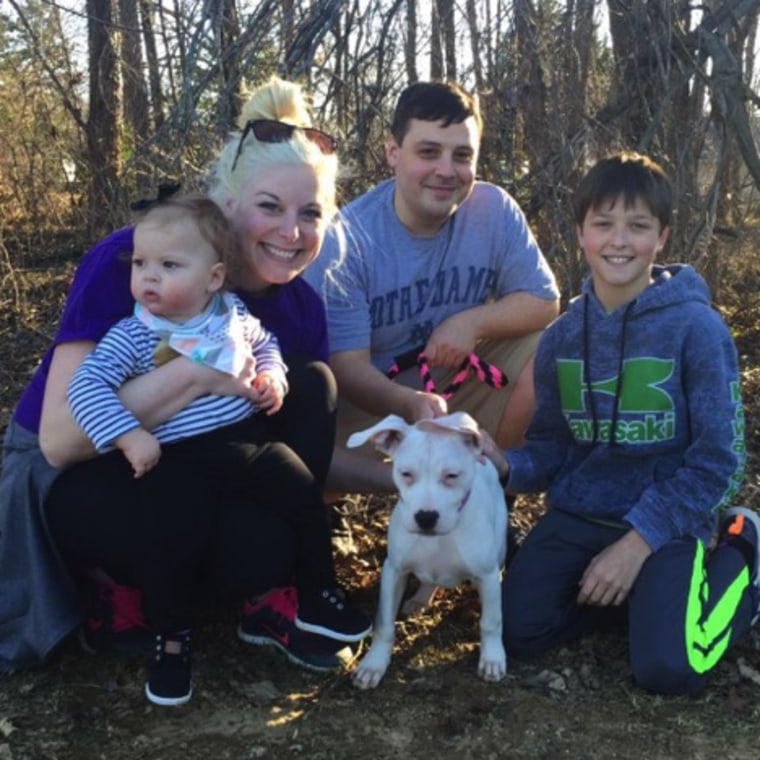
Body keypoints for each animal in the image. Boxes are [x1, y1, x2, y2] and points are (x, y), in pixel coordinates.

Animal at [348, 412, 508, 692]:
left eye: (452, 475)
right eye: (406, 474)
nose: (425, 517)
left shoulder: (487, 574)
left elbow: (491, 621)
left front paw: (492, 658)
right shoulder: (394, 571)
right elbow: (384, 623)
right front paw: (373, 664)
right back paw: (421, 598)